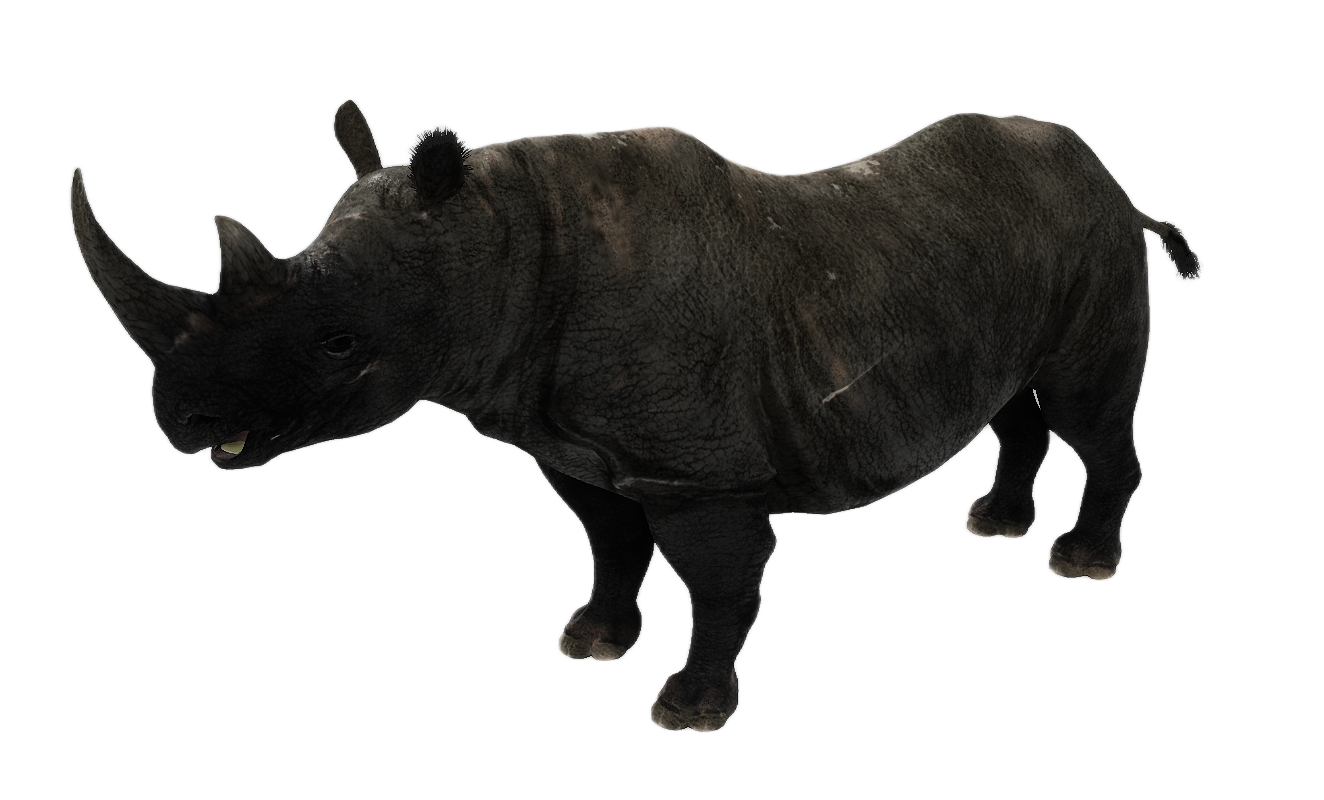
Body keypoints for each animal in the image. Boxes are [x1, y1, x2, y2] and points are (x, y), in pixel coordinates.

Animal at [69, 98, 1205, 732]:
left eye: (342, 343)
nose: (180, 419)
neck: (500, 243)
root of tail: (1116, 178)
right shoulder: (573, 443)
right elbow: (609, 545)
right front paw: (591, 642)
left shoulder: (700, 470)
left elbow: (720, 584)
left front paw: (688, 708)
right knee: (1015, 402)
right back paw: (995, 525)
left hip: (1096, 240)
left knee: (1086, 410)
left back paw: (1080, 561)